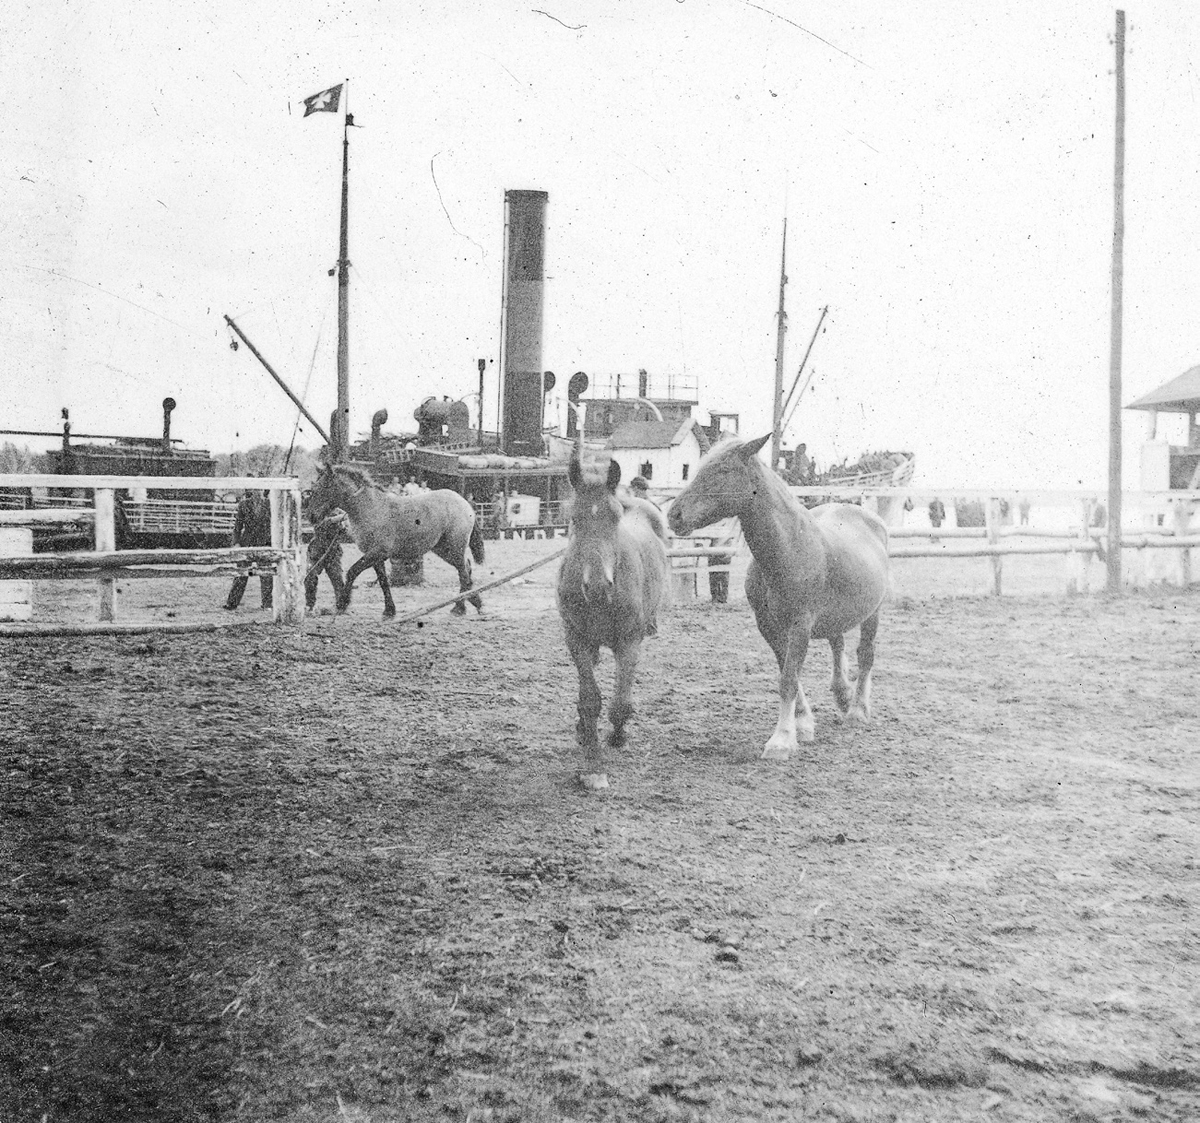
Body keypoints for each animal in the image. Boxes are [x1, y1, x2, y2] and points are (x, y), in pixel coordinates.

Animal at [307, 464, 485, 618]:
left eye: (323, 488)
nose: (311, 516)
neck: (370, 508)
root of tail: (464, 503)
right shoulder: (375, 557)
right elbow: (383, 581)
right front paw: (389, 610)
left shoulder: (378, 552)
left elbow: (352, 572)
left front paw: (342, 603)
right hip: (443, 550)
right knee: (466, 569)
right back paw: (472, 601)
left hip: (454, 548)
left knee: (463, 573)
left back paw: (460, 607)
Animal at [556, 450, 669, 791]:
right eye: (574, 518)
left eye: (615, 519)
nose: (597, 586)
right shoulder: (577, 640)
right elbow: (590, 699)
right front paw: (593, 765)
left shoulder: (629, 643)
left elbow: (620, 702)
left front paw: (617, 737)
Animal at [667, 433, 889, 760]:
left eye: (722, 470)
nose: (674, 515)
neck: (788, 549)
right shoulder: (768, 626)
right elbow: (789, 673)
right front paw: (804, 723)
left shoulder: (800, 625)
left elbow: (788, 679)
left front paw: (782, 740)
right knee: (837, 644)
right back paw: (843, 695)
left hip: (873, 613)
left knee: (866, 655)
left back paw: (858, 709)